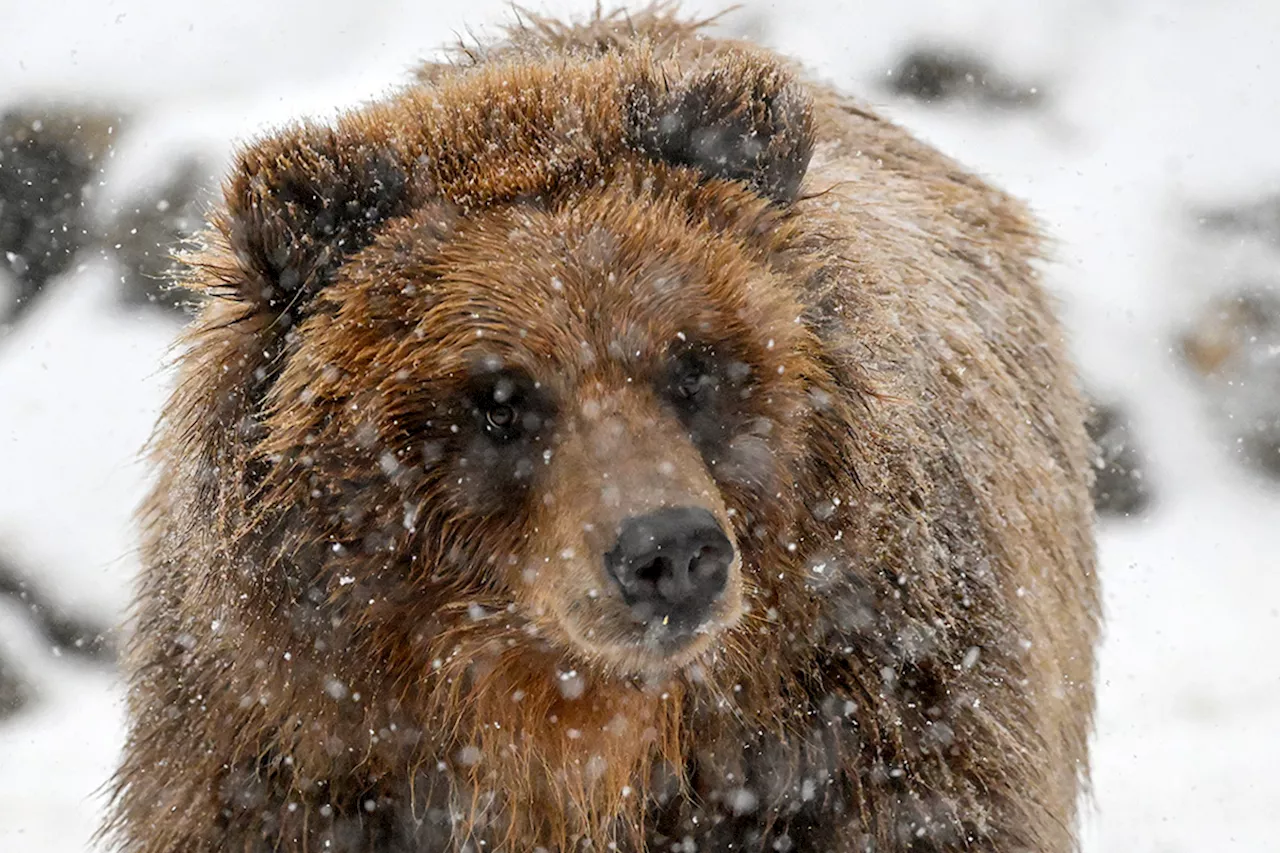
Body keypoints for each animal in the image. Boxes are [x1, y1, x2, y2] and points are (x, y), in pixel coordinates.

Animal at [107, 8, 1100, 850]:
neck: (579, 744)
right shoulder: (283, 769)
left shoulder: (879, 738)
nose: (672, 551)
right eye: (499, 398)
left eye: (695, 363)